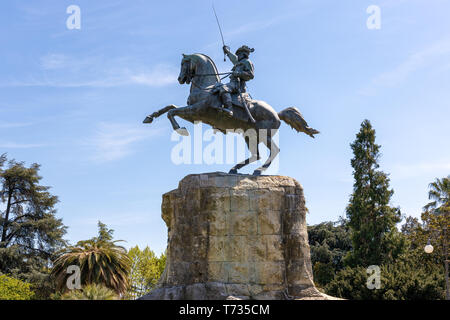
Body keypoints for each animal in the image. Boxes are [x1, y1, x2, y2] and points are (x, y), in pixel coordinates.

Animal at [142, 52, 318, 175]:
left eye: (183, 63)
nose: (180, 79)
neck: (206, 87)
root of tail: (277, 114)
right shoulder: (192, 111)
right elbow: (169, 107)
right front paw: (149, 117)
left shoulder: (196, 111)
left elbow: (172, 111)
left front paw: (180, 129)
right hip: (249, 135)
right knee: (256, 155)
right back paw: (234, 169)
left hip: (264, 134)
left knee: (274, 151)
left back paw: (258, 171)